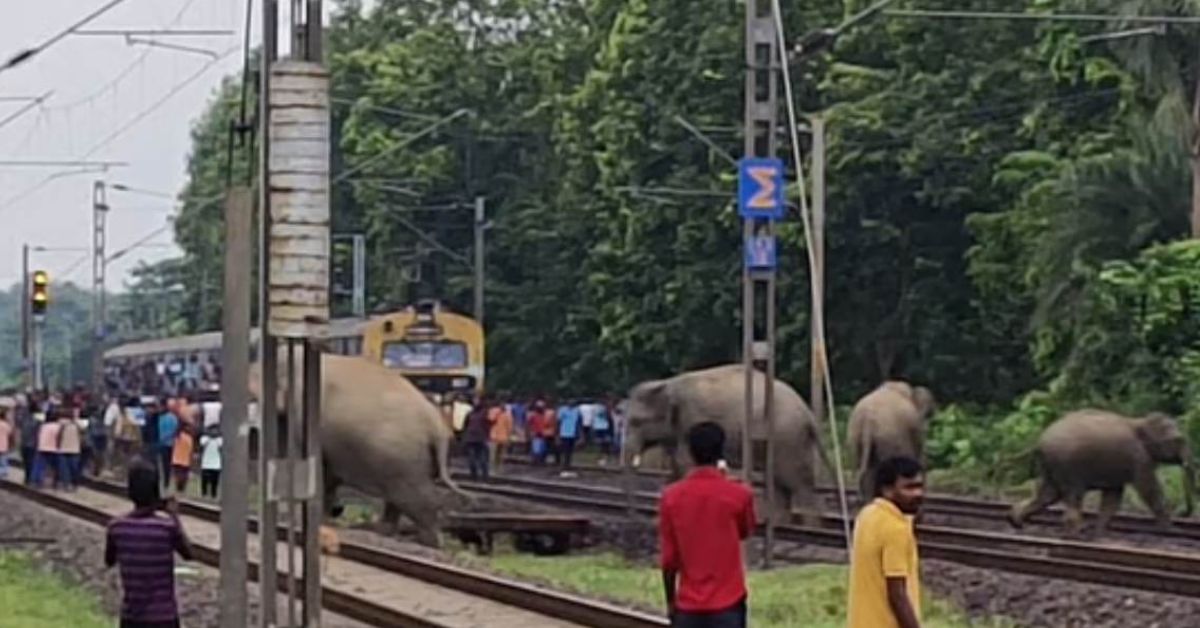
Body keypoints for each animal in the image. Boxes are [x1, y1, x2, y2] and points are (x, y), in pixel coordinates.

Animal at [249, 349, 468, 547]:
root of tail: (438, 427)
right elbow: (327, 474)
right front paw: (322, 521)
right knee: (399, 497)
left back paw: (424, 541)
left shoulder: (302, 409)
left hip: (403, 456)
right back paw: (381, 531)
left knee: (413, 496)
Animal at [624, 364, 834, 524]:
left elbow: (686, 465)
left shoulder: (692, 421)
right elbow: (676, 469)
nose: (635, 517)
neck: (668, 383)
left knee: (797, 485)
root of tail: (808, 413)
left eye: (636, 421)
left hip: (788, 439)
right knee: (780, 485)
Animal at [1009, 410, 1196, 536]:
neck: (1140, 422)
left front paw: (1099, 533)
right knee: (1072, 493)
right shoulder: (1139, 458)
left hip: (1050, 465)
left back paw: (1017, 522)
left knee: (1048, 494)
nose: (1183, 513)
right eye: (1179, 440)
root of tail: (1039, 442)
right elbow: (1148, 488)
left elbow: (1113, 496)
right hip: (1066, 465)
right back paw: (1078, 531)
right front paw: (1171, 530)